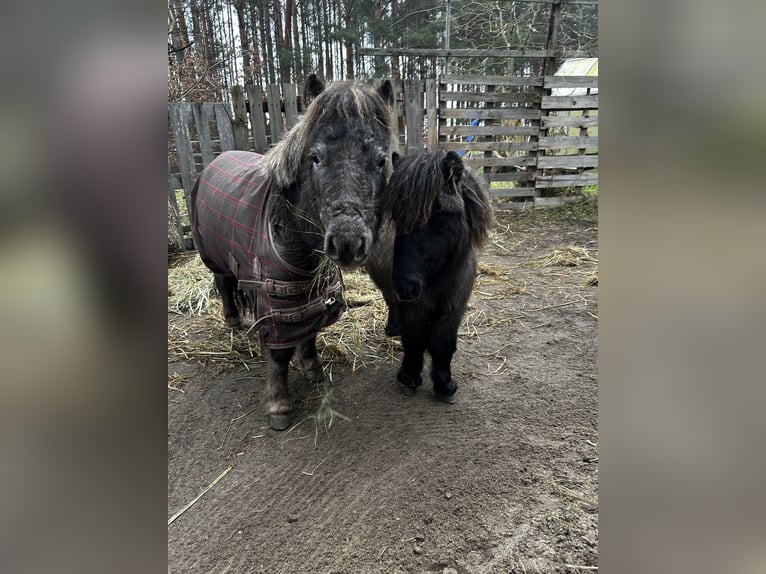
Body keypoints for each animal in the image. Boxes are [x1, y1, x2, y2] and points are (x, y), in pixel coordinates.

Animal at [190, 75, 397, 430]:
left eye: (381, 160)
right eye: (315, 157)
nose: (347, 243)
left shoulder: (310, 293)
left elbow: (309, 332)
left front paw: (313, 369)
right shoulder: (277, 301)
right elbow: (279, 354)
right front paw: (278, 405)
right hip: (215, 258)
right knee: (224, 284)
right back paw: (233, 322)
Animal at [367, 149, 495, 403]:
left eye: (438, 216)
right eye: (396, 218)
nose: (405, 286)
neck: (438, 278)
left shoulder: (454, 307)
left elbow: (443, 343)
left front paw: (445, 385)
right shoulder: (414, 308)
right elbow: (414, 341)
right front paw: (409, 378)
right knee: (391, 303)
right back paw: (393, 327)